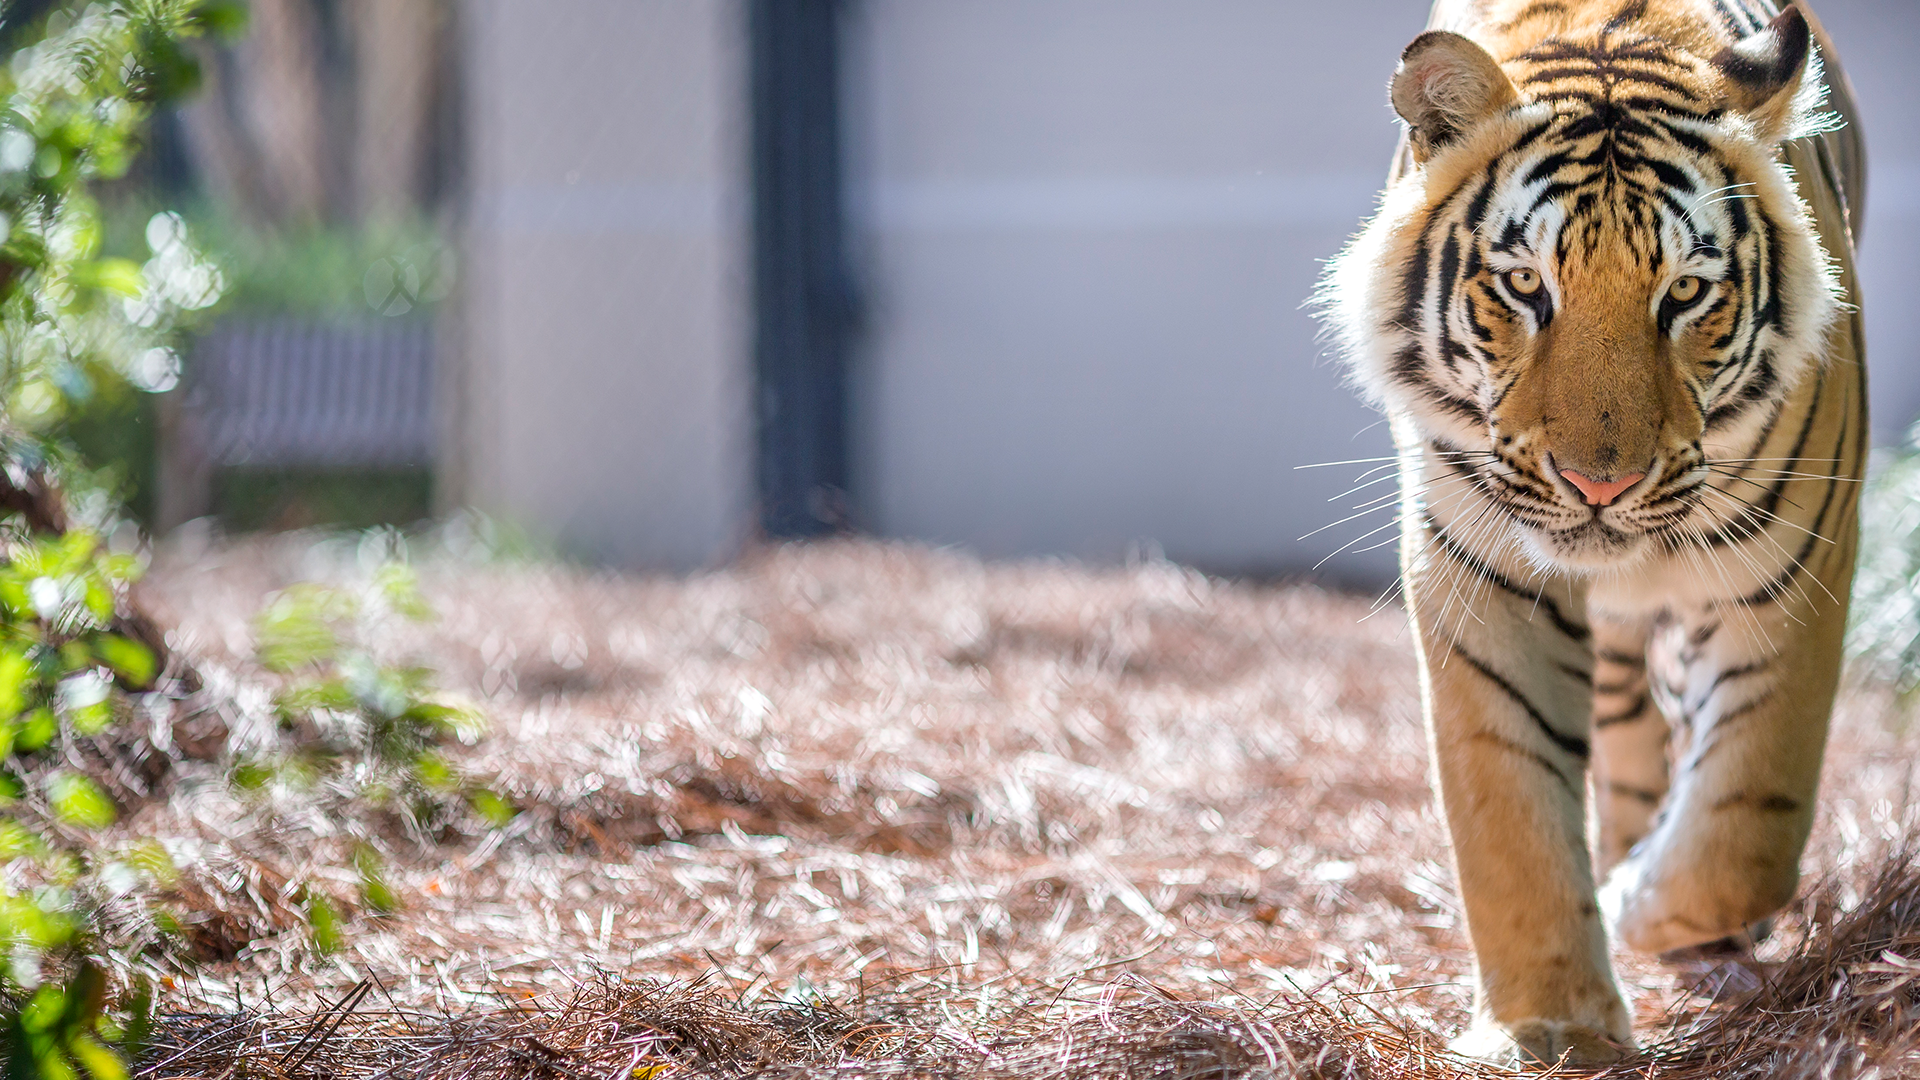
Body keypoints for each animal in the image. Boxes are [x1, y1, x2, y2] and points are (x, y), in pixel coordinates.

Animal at [1319, 0, 1864, 1065]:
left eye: (1685, 294)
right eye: (1526, 286)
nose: (1598, 484)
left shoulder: (1793, 572)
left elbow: (1745, 826)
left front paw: (1636, 903)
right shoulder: (1482, 574)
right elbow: (1507, 810)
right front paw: (1551, 1026)